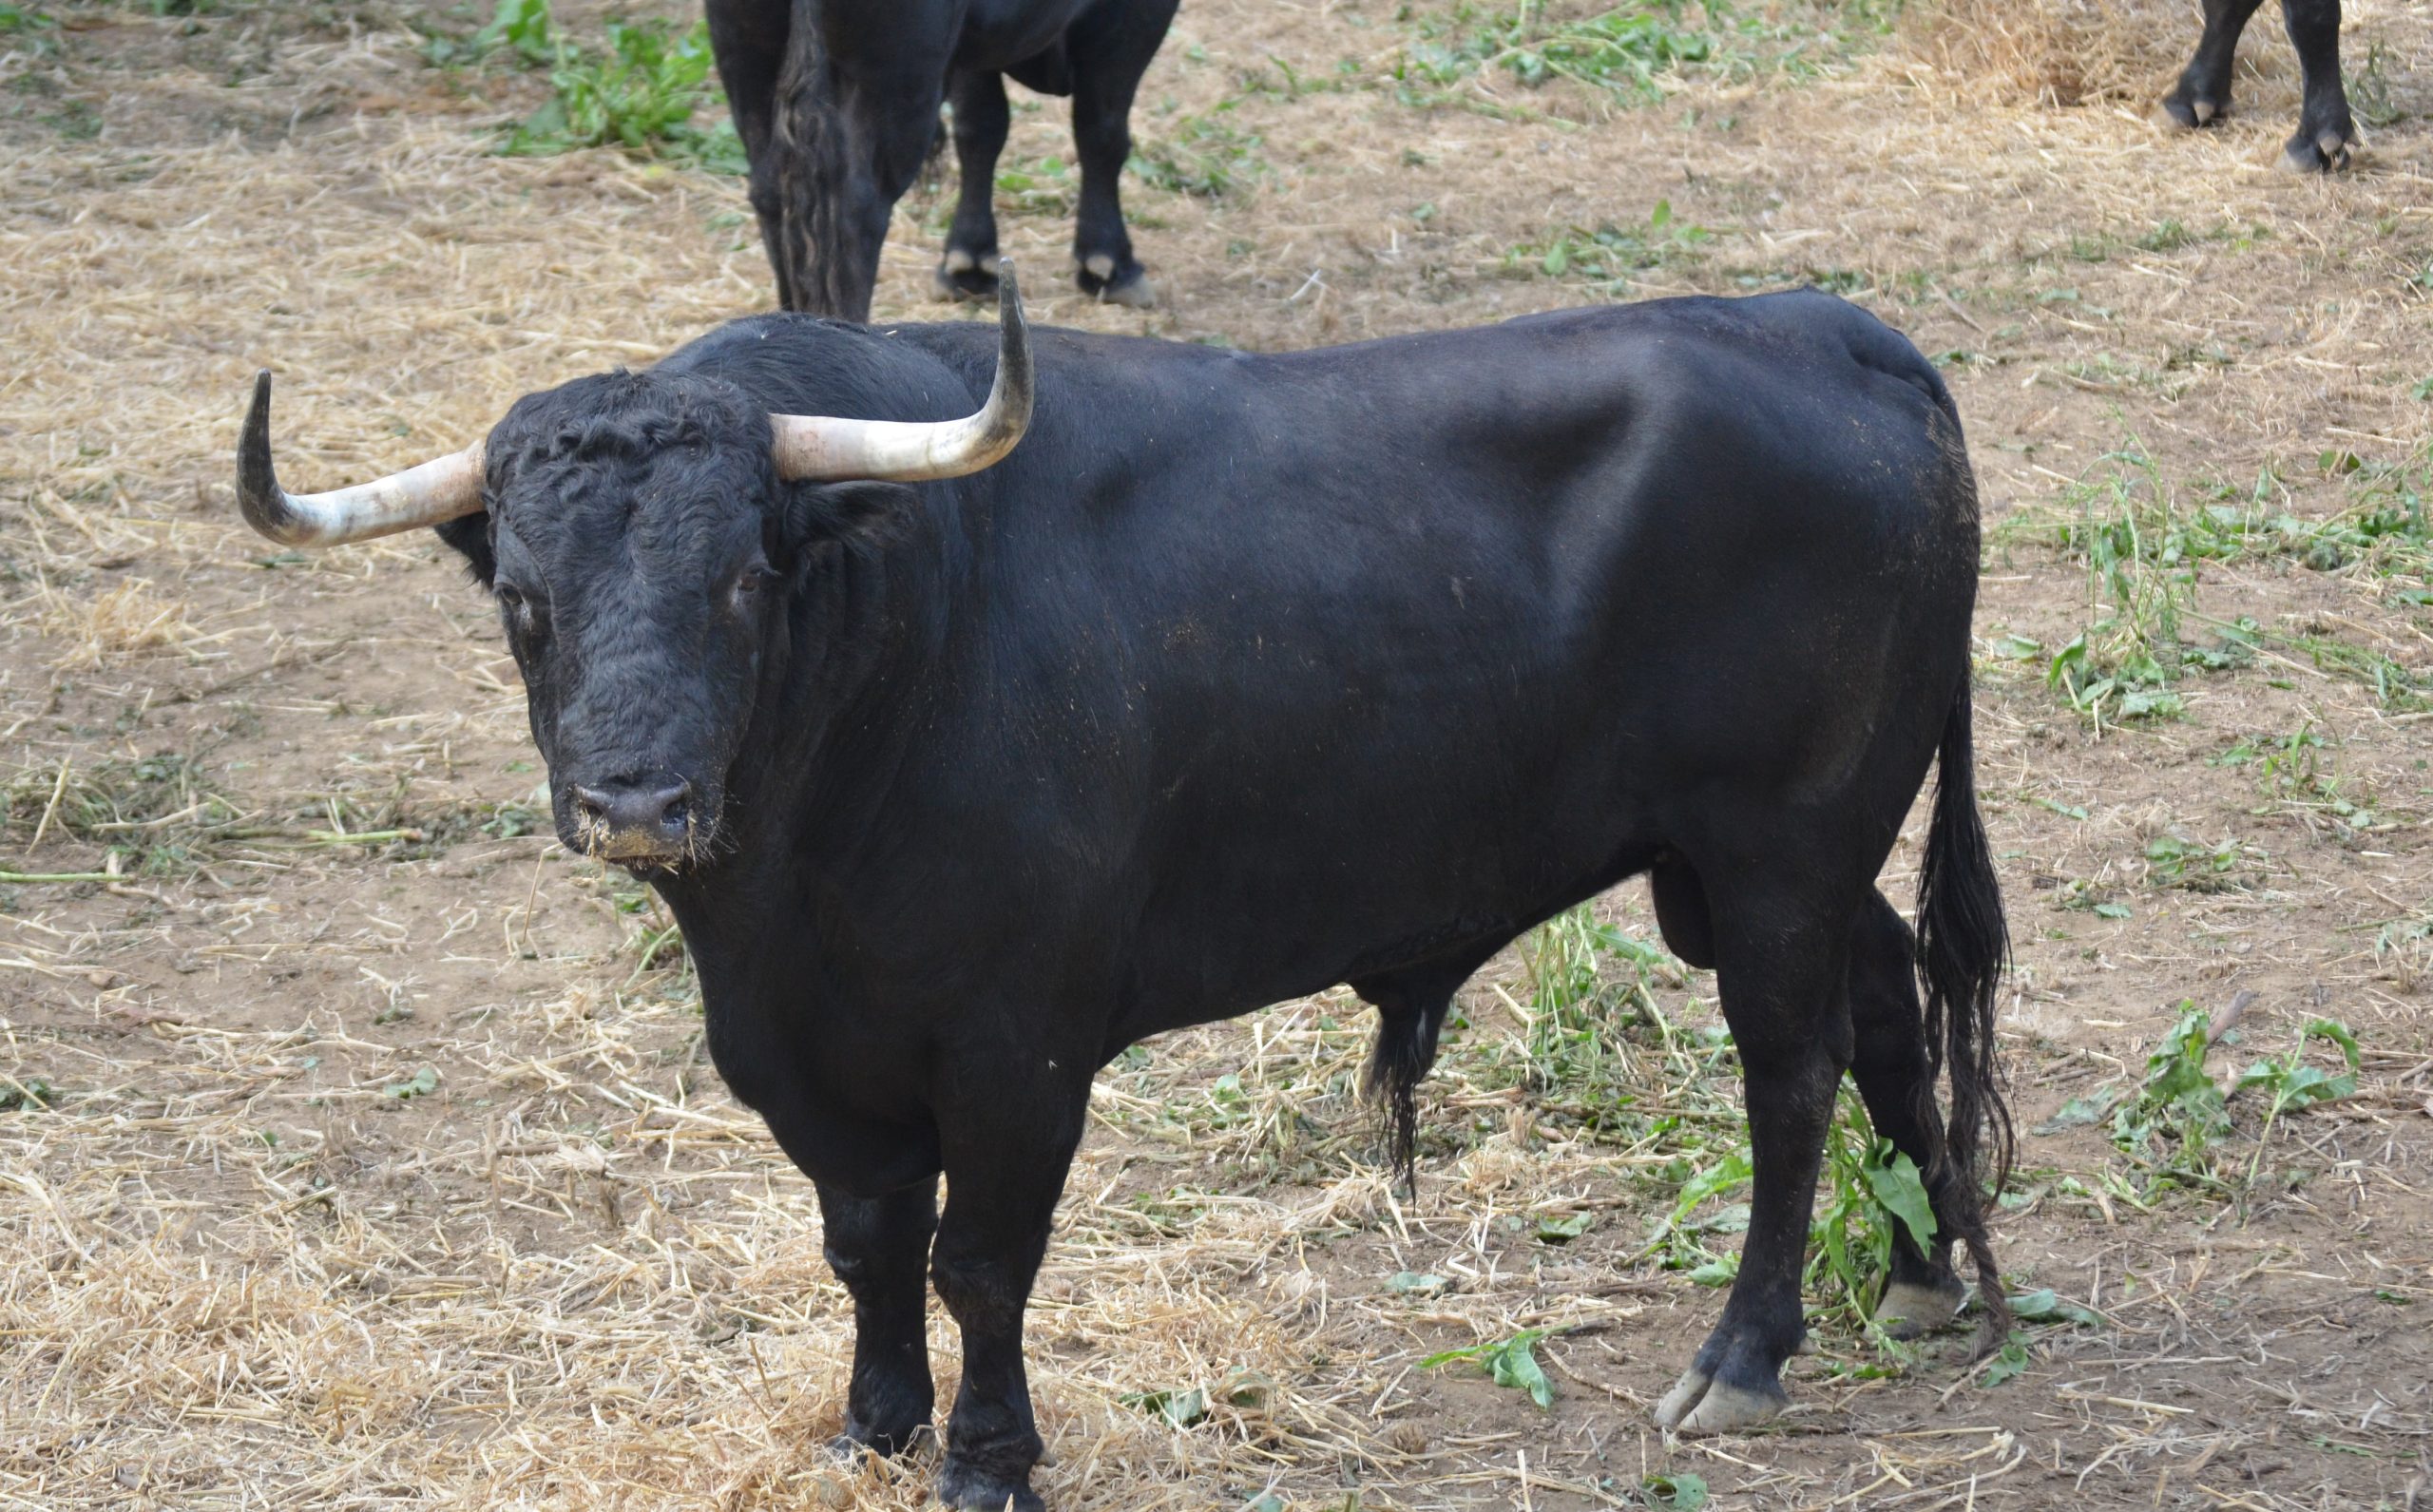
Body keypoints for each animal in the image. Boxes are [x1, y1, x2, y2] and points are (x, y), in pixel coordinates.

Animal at [233, 271, 2012, 1510]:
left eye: (742, 578)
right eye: (524, 602)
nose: (634, 802)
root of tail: (1825, 326)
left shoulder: (1017, 1049)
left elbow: (977, 1258)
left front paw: (986, 1454)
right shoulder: (805, 1054)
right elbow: (866, 1242)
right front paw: (873, 1426)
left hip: (1774, 851)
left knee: (1791, 1075)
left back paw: (1743, 1357)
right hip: (1778, 861)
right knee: (1888, 1006)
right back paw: (1925, 1278)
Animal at [702, 0, 1177, 320]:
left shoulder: (970, 43)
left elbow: (980, 126)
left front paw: (969, 260)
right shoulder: (1135, 18)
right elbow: (1102, 132)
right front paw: (1111, 264)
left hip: (744, 49)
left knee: (773, 195)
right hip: (896, 71)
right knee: (853, 211)